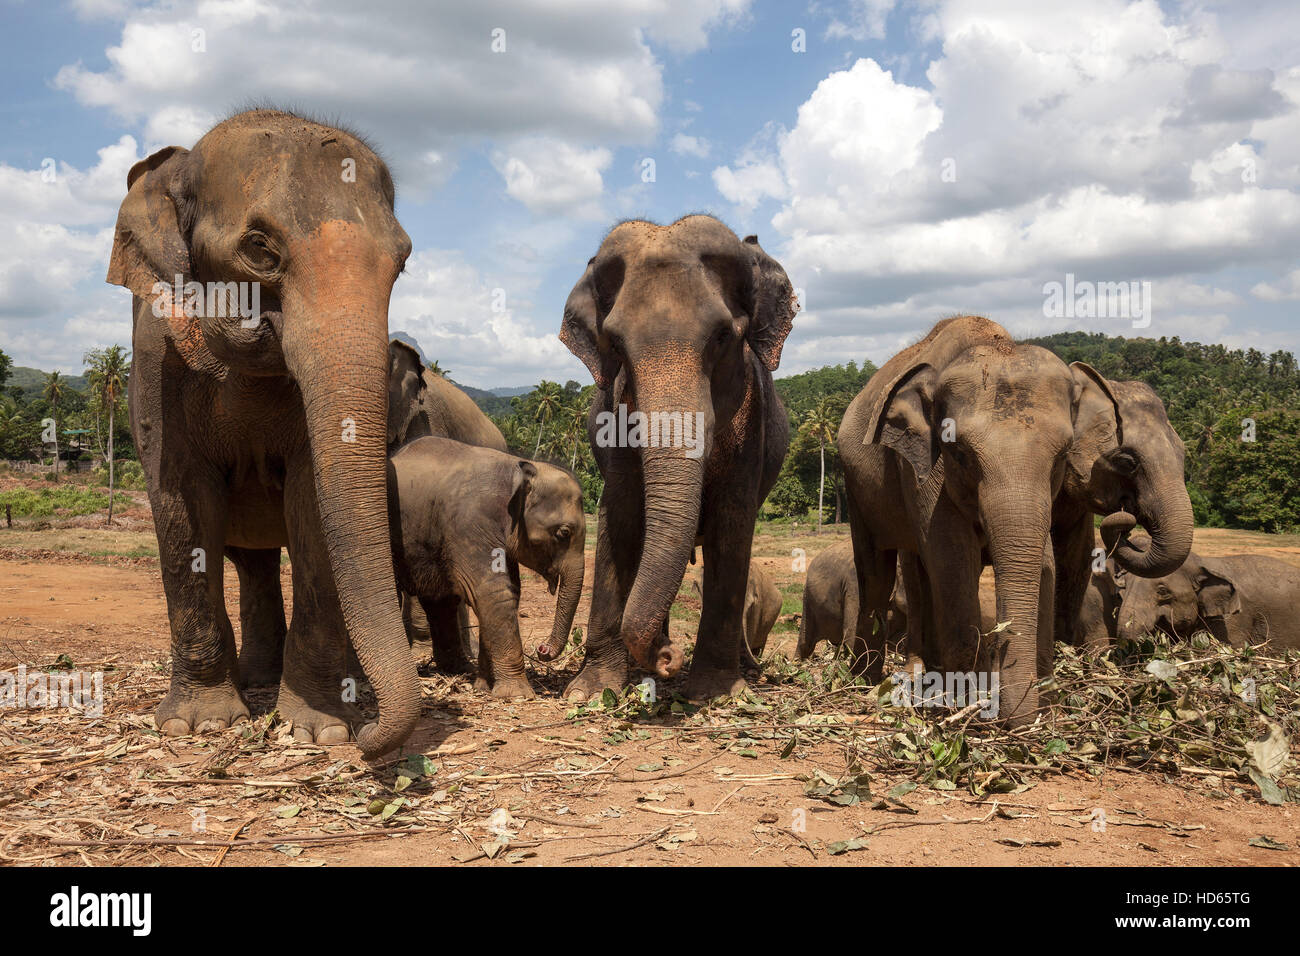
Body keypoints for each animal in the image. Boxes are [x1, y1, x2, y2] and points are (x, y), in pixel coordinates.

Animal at [111, 110, 418, 754]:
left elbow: (310, 503)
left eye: (401, 262)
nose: (371, 733)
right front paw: (197, 724)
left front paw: (320, 729)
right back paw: (250, 680)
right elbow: (180, 501)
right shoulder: (154, 354)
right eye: (259, 247)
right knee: (247, 561)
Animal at [384, 434, 590, 697]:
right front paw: (517, 695)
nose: (542, 649)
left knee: (441, 602)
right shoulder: (471, 522)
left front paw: (483, 687)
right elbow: (493, 593)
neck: (517, 469)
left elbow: (507, 593)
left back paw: (458, 669)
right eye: (564, 533)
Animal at [556, 213, 790, 697]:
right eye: (615, 345)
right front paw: (592, 691)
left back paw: (742, 669)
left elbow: (733, 524)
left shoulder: (752, 420)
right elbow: (620, 514)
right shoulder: (616, 411)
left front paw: (716, 691)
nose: (669, 657)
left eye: (722, 337)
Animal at [832, 314, 1107, 723]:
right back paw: (868, 679)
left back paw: (924, 675)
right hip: (856, 489)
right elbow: (953, 560)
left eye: (1062, 455)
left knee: (917, 571)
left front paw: (1044, 706)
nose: (1016, 718)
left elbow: (1044, 564)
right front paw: (969, 704)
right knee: (879, 573)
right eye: (960, 453)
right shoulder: (925, 470)